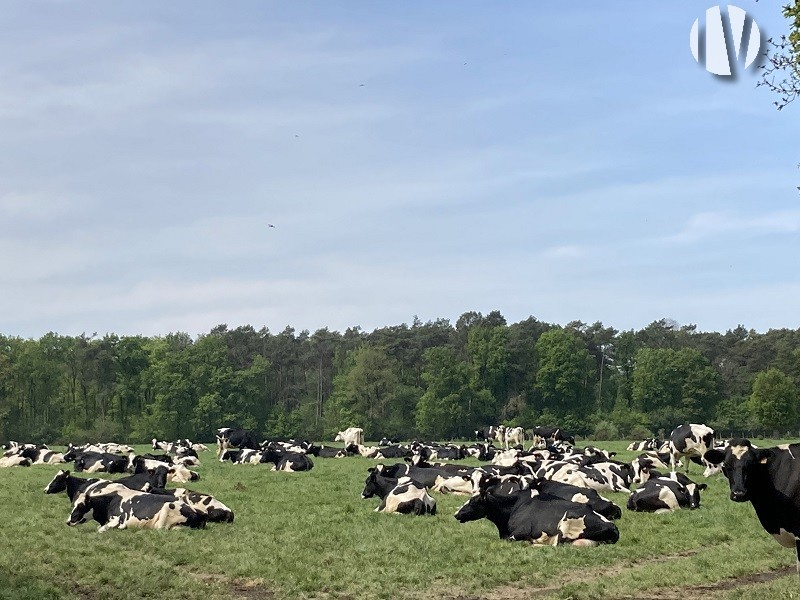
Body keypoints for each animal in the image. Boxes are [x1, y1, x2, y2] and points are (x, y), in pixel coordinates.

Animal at [456, 476, 620, 548]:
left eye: (473, 502)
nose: (456, 514)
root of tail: (612, 526)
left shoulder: (521, 531)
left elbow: (512, 539)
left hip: (566, 523)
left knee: (557, 545)